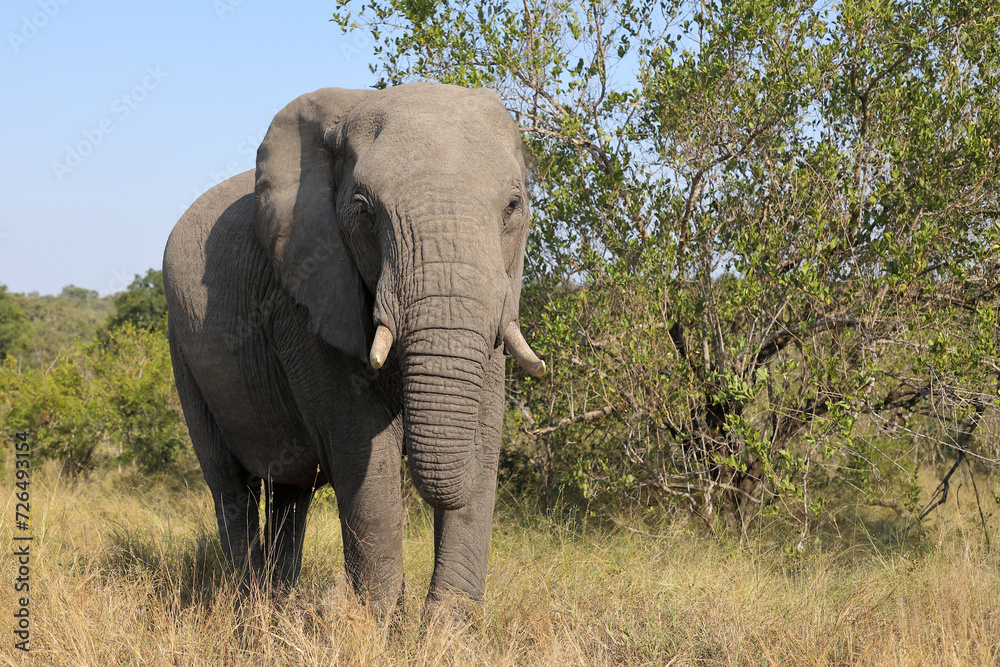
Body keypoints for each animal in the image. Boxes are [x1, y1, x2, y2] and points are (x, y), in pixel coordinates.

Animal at [162, 82, 546, 617]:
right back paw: (246, 608)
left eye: (513, 206)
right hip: (182, 348)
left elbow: (485, 439)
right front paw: (380, 624)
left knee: (291, 490)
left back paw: (278, 607)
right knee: (230, 485)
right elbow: (362, 450)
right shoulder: (305, 297)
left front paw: (445, 630)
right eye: (365, 213)